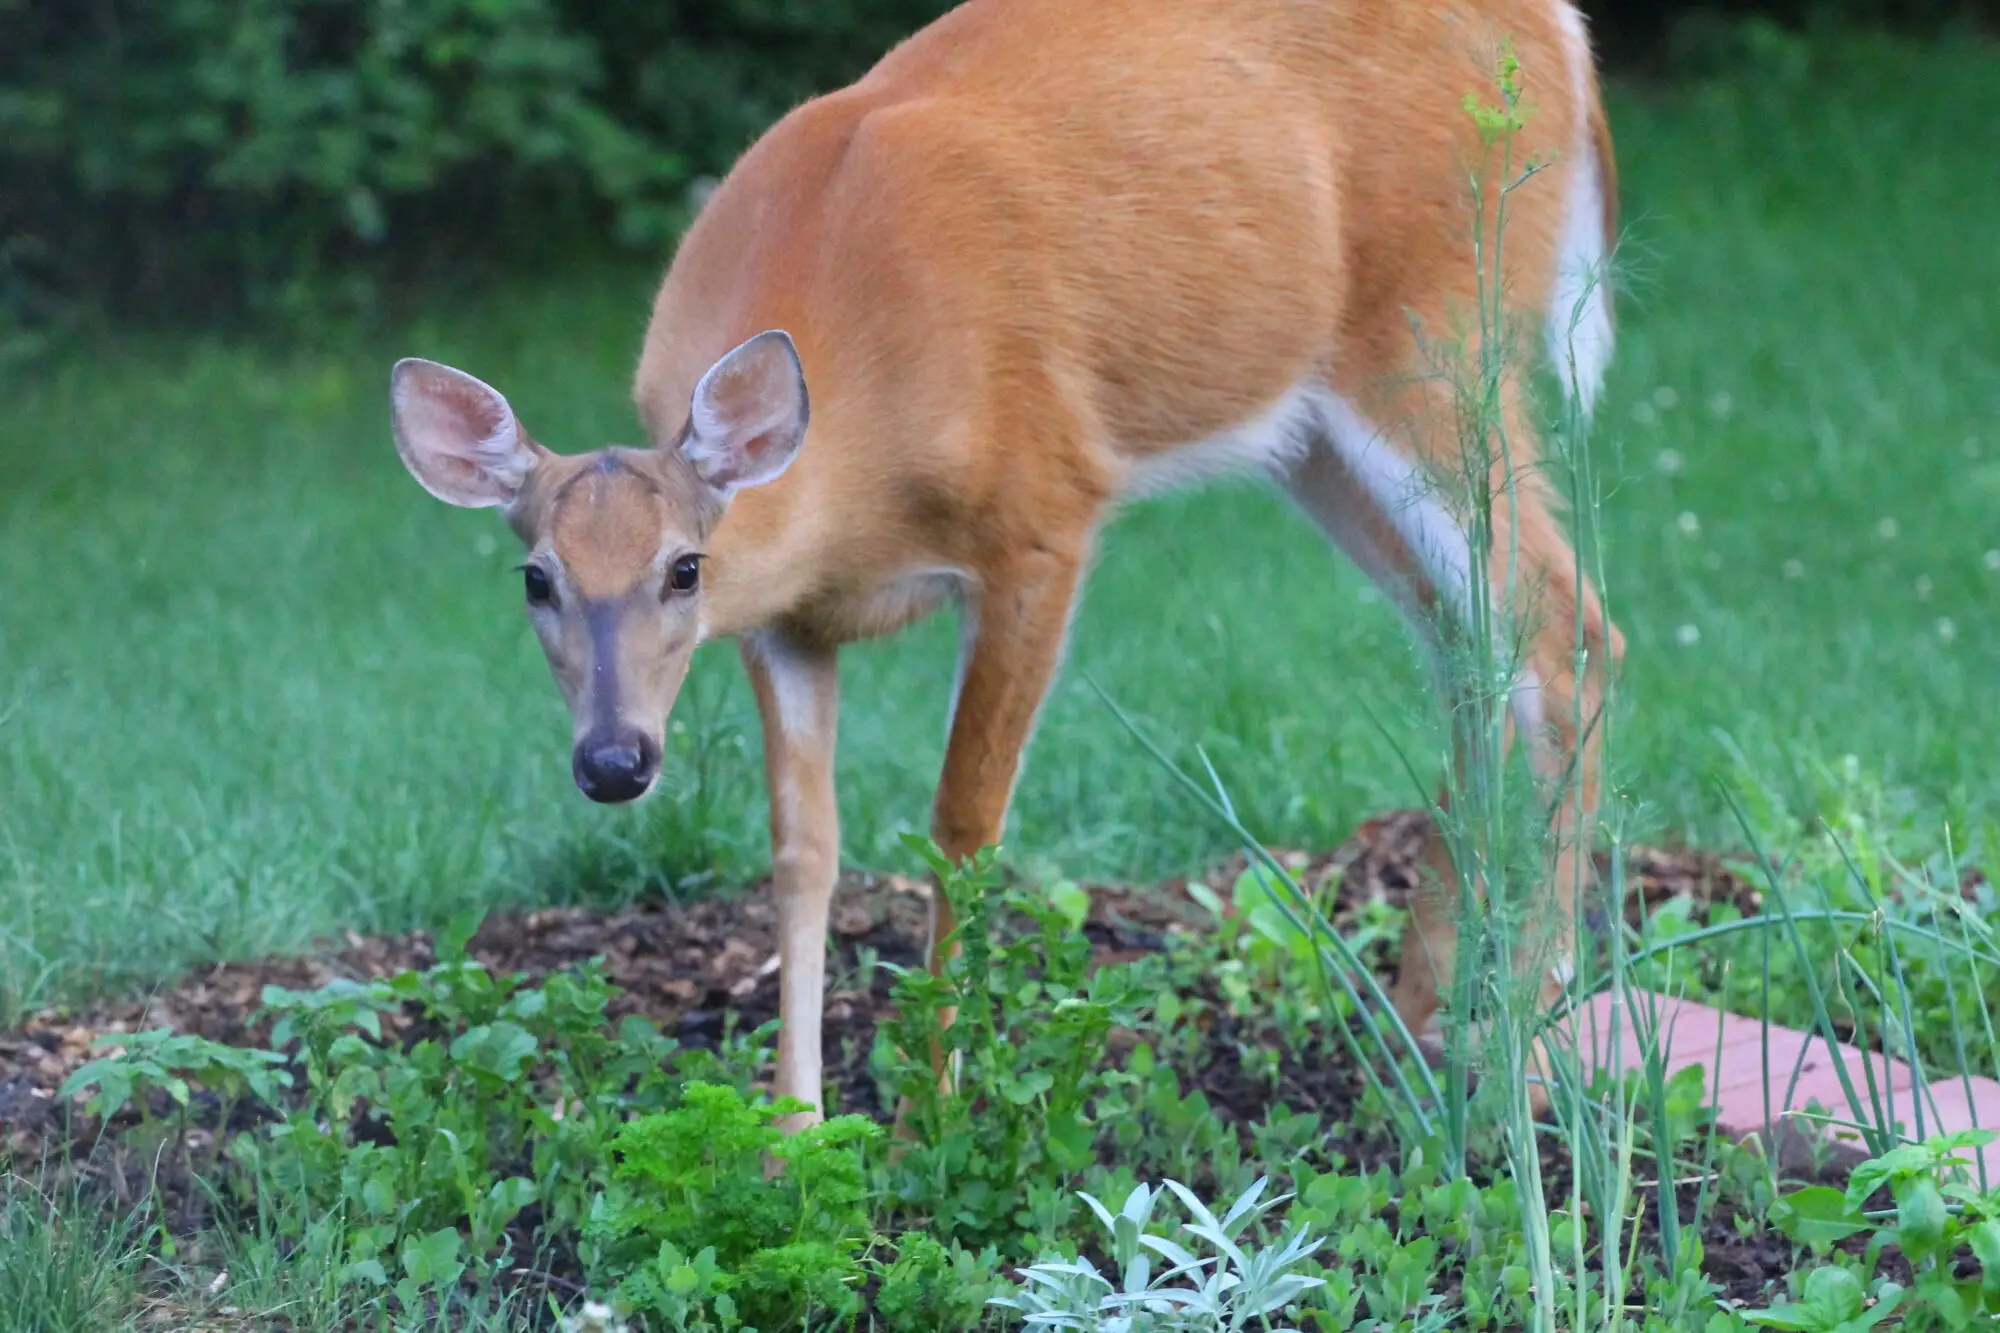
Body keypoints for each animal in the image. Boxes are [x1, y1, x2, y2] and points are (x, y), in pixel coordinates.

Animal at [388, 0, 1624, 1130]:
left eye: (684, 568)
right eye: (536, 580)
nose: (613, 760)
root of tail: (1563, 33)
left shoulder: (1042, 518)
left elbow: (962, 823)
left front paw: (932, 1116)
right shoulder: (785, 623)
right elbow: (801, 849)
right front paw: (793, 1135)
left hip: (1436, 329)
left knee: (1566, 625)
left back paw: (1528, 1048)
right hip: (1313, 434)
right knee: (1468, 644)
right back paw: (1418, 1026)